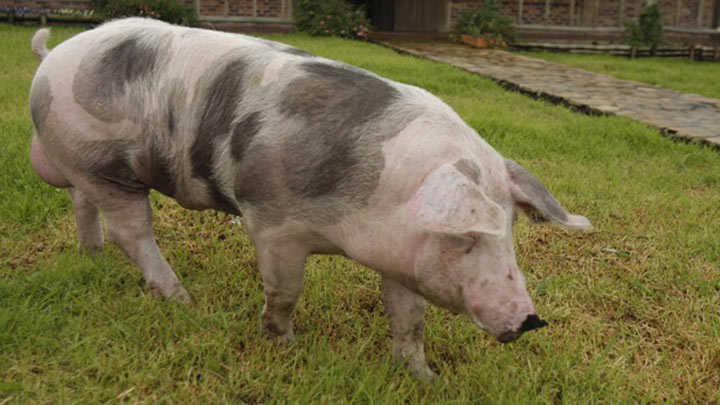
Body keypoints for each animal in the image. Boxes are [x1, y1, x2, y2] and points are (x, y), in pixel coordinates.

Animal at [29, 18, 592, 379]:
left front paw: (423, 377)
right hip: (107, 166)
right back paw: (182, 301)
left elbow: (408, 317)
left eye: (511, 232)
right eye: (466, 238)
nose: (530, 319)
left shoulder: (400, 254)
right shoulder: (273, 225)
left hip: (86, 169)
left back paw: (92, 257)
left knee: (82, 205)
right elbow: (286, 290)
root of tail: (51, 58)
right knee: (130, 230)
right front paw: (285, 343)